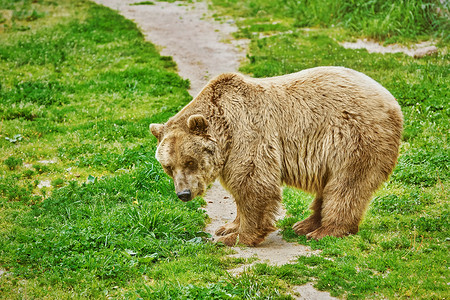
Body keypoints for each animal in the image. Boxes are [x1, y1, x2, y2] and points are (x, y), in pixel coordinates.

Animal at [150, 67, 404, 246]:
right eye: (168, 167)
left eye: (189, 161)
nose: (183, 194)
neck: (226, 131)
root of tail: (392, 99)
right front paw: (229, 227)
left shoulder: (249, 134)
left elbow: (252, 183)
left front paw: (235, 237)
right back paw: (305, 225)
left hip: (354, 138)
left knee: (346, 186)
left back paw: (325, 231)